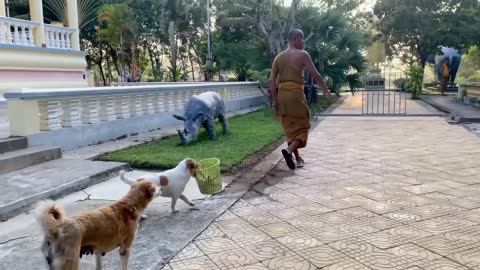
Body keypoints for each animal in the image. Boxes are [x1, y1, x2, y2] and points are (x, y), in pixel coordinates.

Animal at [34, 179, 165, 270]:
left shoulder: (97, 250)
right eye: (155, 186)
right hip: (71, 261)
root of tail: (55, 231)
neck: (129, 204)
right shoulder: (125, 248)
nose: (162, 188)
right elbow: (124, 266)